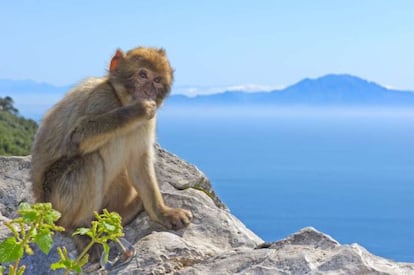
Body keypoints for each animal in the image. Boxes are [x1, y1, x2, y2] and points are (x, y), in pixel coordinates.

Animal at [30, 47, 192, 260]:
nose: (148, 90)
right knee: (89, 160)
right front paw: (136, 110)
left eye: (157, 80)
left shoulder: (148, 121)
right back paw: (78, 228)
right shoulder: (102, 99)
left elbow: (139, 162)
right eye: (142, 75)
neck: (120, 99)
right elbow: (78, 136)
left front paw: (162, 212)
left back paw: (125, 214)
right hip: (56, 203)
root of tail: (39, 202)